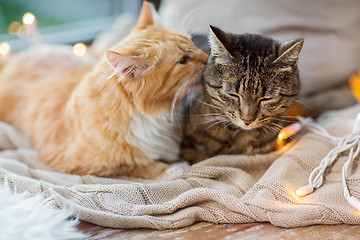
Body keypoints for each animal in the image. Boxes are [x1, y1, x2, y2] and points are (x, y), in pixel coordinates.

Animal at [0, 1, 208, 178]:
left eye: (192, 43)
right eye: (183, 60)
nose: (208, 59)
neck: (157, 116)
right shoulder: (88, 164)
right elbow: (142, 165)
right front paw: (176, 167)